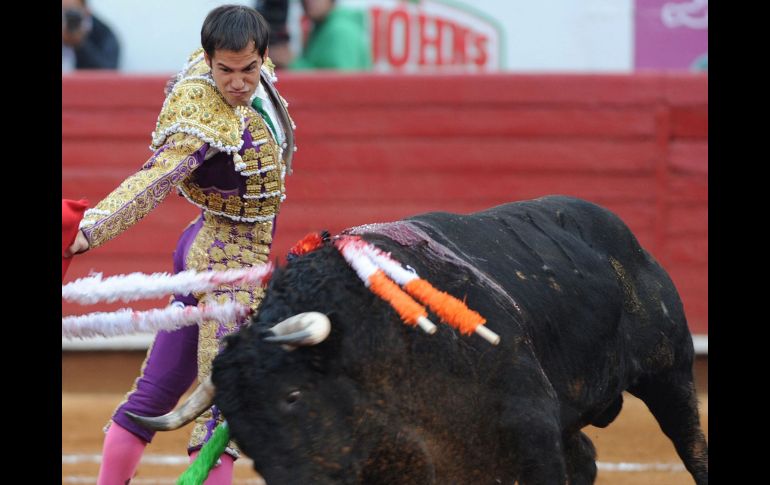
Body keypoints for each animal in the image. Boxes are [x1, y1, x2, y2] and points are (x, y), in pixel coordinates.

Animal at [210, 195, 708, 482]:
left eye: (292, 396)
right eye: (236, 423)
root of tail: (627, 240)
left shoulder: (529, 426)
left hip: (670, 371)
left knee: (692, 444)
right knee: (584, 456)